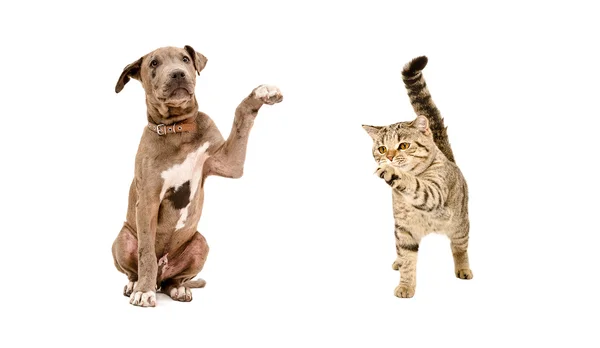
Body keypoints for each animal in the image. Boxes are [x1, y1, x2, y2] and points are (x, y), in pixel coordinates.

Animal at [110, 44, 284, 308]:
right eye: (153, 63)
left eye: (185, 59)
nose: (178, 74)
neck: (177, 129)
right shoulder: (148, 199)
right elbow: (146, 253)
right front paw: (144, 292)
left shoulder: (228, 162)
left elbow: (241, 117)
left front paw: (261, 93)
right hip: (122, 239)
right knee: (136, 268)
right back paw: (136, 285)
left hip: (200, 243)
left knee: (174, 279)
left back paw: (179, 289)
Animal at [360, 55, 474, 298]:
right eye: (382, 149)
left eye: (403, 146)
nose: (389, 158)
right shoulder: (403, 231)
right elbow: (408, 259)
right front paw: (405, 285)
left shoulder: (434, 192)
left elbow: (417, 185)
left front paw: (393, 173)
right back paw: (398, 262)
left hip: (460, 224)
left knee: (460, 247)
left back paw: (463, 268)